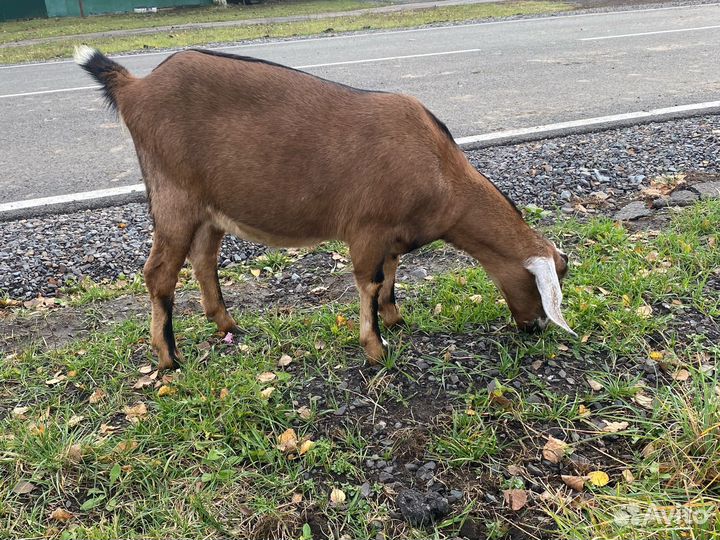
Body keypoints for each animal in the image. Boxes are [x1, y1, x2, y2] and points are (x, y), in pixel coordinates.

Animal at [75, 46, 575, 371]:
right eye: (545, 283)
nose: (535, 329)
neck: (441, 172)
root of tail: (135, 88)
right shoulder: (368, 229)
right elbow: (369, 283)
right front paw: (376, 348)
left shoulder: (393, 236)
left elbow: (391, 278)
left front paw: (395, 320)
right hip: (173, 197)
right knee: (159, 273)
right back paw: (169, 359)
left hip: (209, 209)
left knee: (203, 261)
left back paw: (226, 324)